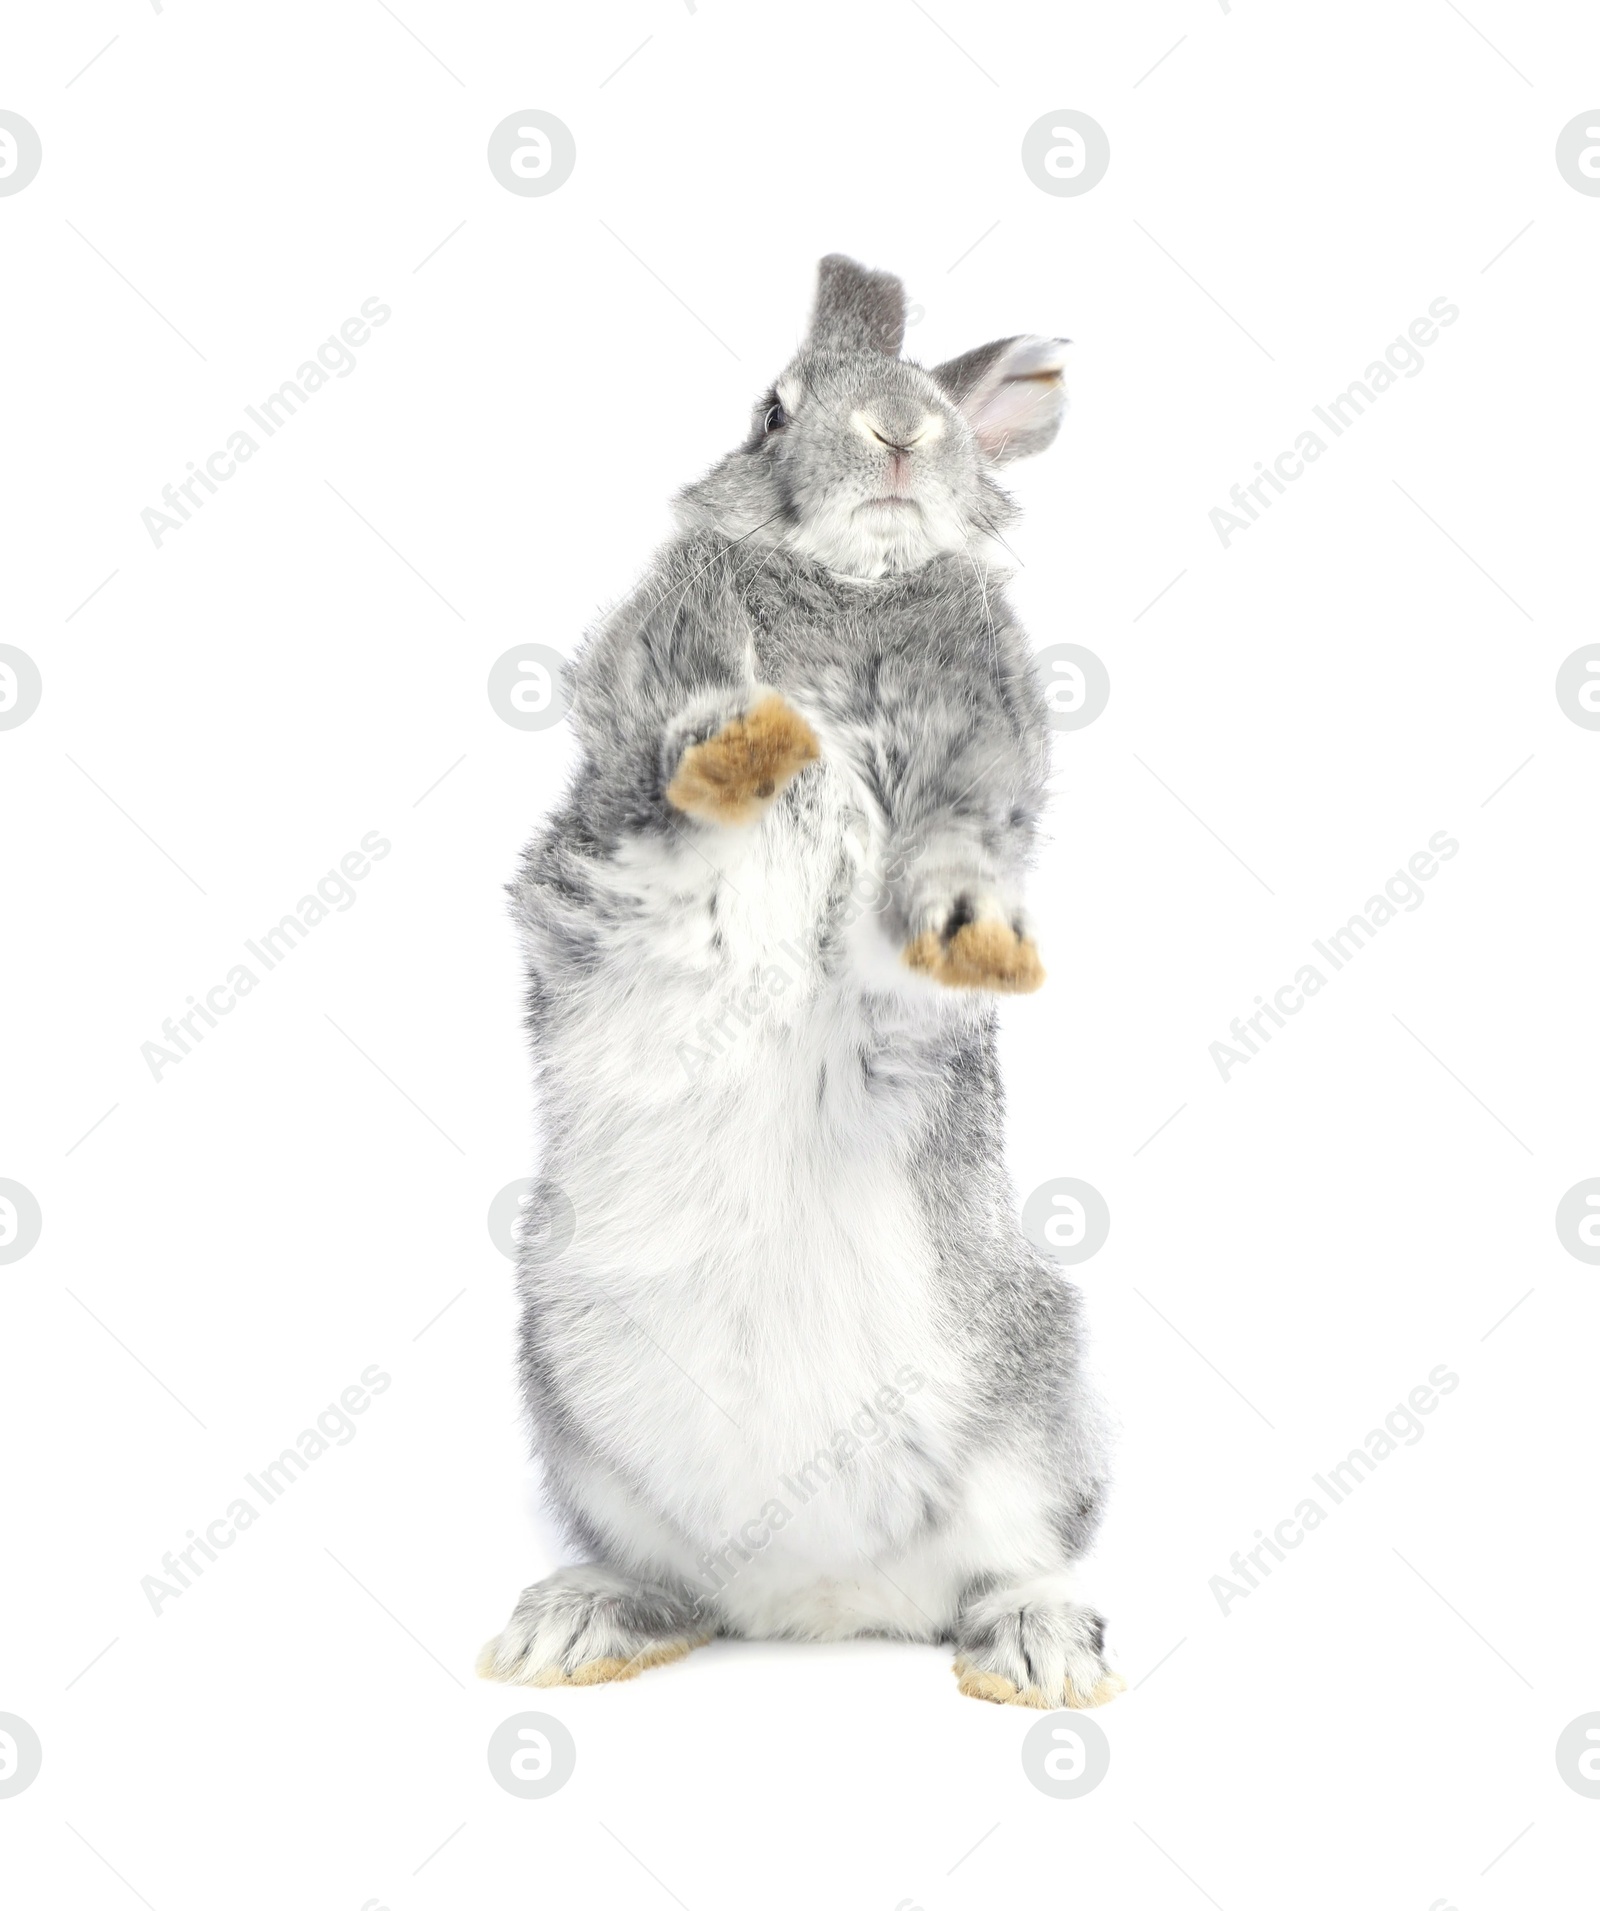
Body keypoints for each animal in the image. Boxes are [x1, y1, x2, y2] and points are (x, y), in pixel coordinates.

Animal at [477, 257, 1124, 1719]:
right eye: (772, 408)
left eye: (935, 398)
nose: (901, 431)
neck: (849, 588)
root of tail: (818, 1606)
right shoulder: (641, 707)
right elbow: (672, 741)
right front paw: (752, 741)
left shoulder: (976, 746)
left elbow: (954, 848)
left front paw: (980, 943)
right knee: (675, 1585)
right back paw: (574, 1626)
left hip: (1032, 1400)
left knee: (1000, 1568)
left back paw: (1040, 1651)